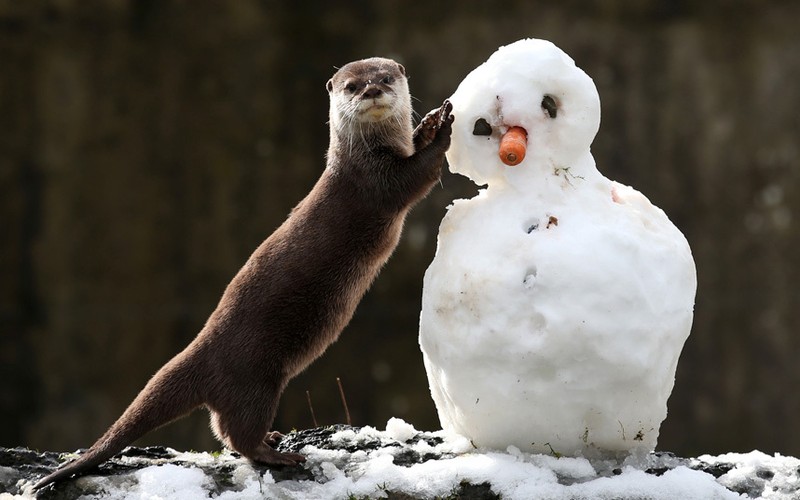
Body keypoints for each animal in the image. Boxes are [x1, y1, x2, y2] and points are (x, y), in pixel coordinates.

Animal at [34, 56, 454, 490]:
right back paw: (279, 453)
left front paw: (427, 124)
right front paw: (444, 129)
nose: (372, 91)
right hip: (255, 380)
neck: (364, 154)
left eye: (385, 77)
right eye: (351, 86)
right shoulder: (375, 182)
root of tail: (203, 351)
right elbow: (417, 176)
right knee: (237, 433)